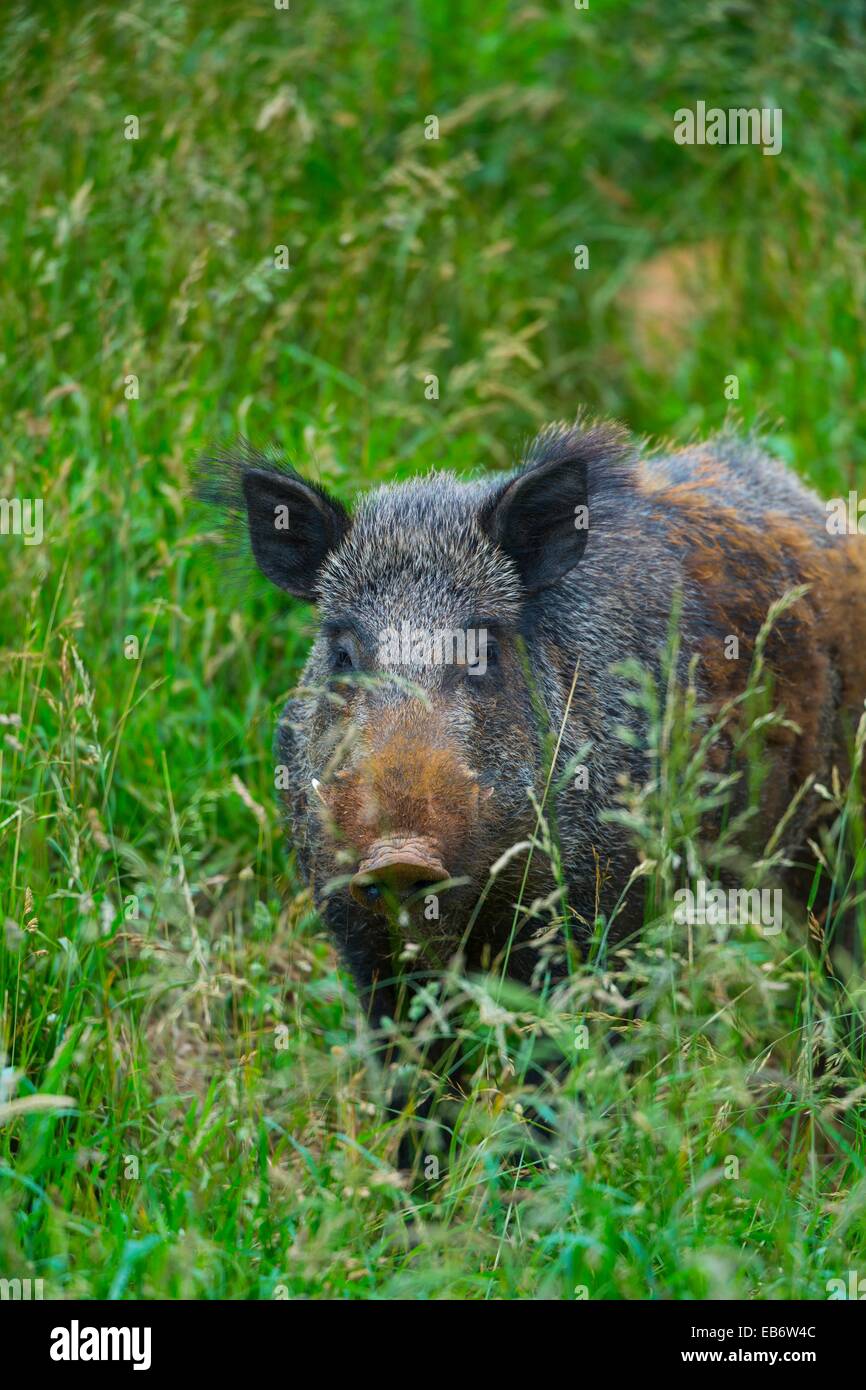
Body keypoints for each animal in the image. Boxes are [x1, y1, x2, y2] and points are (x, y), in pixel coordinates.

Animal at [197, 419, 866, 1028]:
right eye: (342, 653)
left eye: (485, 651)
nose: (400, 854)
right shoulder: (352, 921)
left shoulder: (596, 905)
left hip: (831, 827)